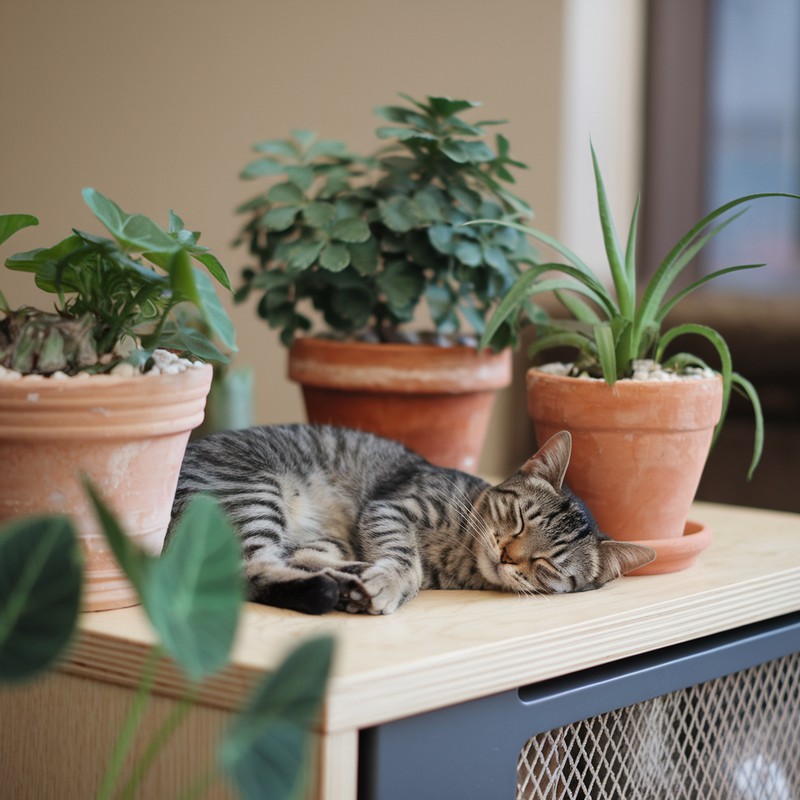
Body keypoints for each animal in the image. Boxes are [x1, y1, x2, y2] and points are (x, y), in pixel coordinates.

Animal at [169, 424, 656, 620]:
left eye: (549, 563)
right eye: (518, 520)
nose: (506, 554)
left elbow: (413, 569)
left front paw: (378, 581)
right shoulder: (392, 509)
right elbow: (406, 559)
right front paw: (389, 581)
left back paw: (346, 582)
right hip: (255, 494)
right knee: (250, 569)